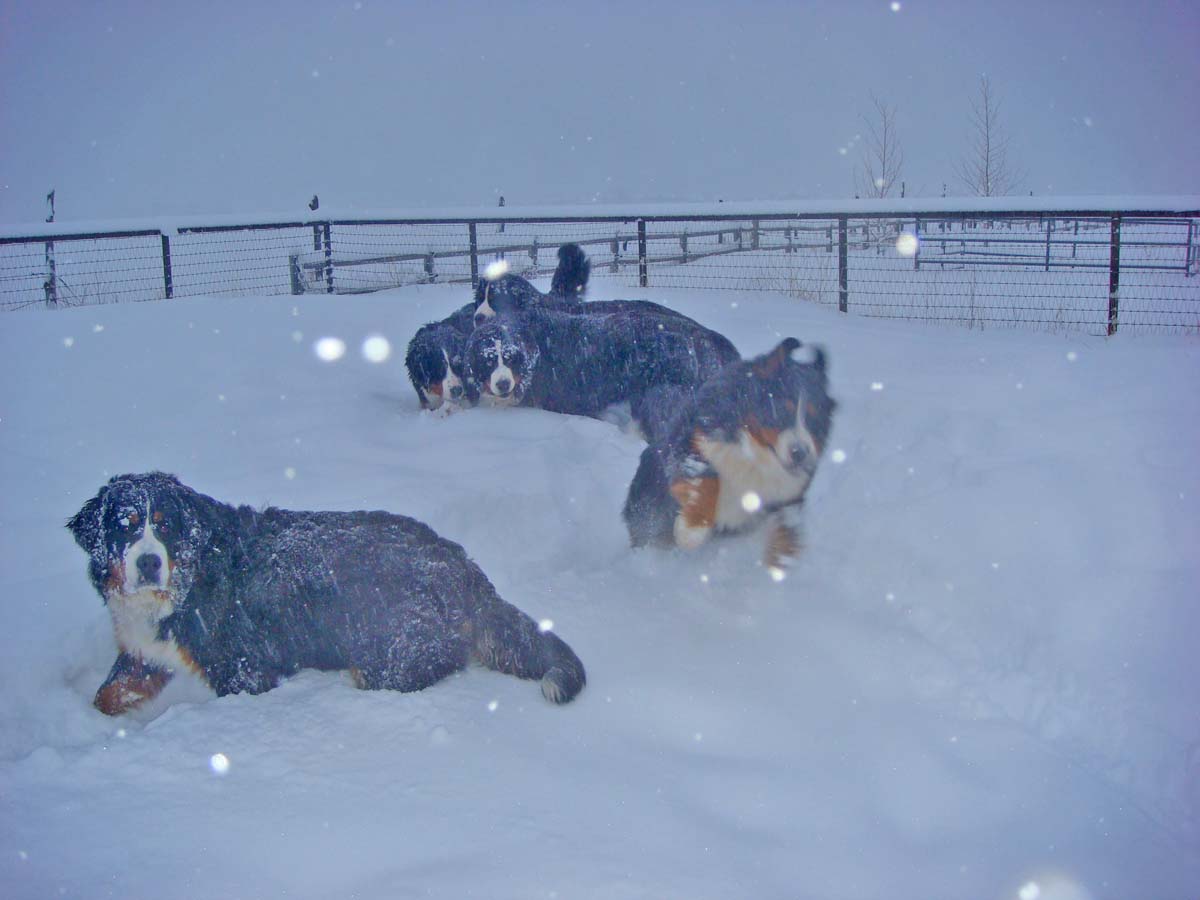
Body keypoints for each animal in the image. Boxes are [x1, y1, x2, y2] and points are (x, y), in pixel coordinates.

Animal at [69, 472, 585, 720]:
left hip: (391, 649)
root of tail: (459, 563)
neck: (186, 581)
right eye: (126, 526)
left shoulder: (244, 672)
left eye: (166, 527)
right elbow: (106, 695)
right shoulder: (143, 653)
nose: (148, 563)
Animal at [619, 338, 835, 571]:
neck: (757, 452)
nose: (799, 453)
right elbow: (706, 483)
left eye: (815, 420)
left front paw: (783, 557)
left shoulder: (789, 492)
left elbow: (787, 521)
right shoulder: (691, 444)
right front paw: (690, 531)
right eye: (782, 411)